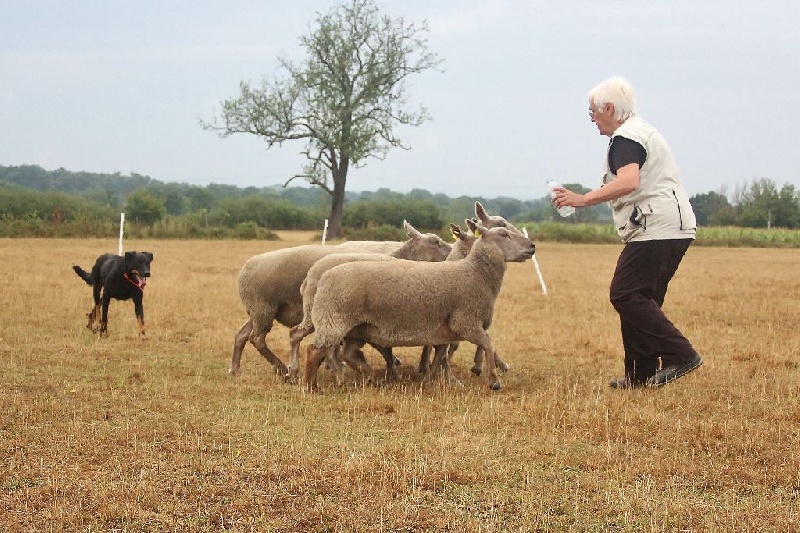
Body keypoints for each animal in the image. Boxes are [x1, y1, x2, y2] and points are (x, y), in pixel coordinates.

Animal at [230, 220, 450, 378]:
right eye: (436, 242)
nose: (451, 253)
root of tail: (244, 271)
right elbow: (384, 347)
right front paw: (391, 370)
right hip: (266, 308)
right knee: (260, 338)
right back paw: (287, 369)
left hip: (258, 310)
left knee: (242, 335)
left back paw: (236, 369)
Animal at [306, 220, 536, 390]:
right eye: (504, 234)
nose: (532, 246)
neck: (475, 273)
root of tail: (323, 276)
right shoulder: (465, 321)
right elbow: (487, 344)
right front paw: (494, 381)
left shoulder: (446, 329)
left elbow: (442, 354)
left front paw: (430, 380)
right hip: (333, 321)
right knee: (314, 350)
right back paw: (311, 386)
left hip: (357, 328)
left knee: (347, 353)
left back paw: (373, 378)